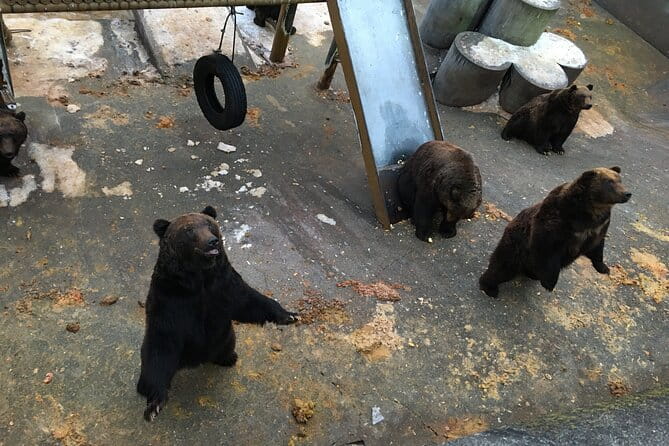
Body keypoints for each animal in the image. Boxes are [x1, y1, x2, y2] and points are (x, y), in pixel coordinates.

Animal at [136, 206, 297, 421]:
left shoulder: (223, 285)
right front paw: (154, 402)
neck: (200, 279)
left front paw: (289, 315)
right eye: (189, 230)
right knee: (155, 364)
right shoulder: (170, 297)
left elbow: (250, 301)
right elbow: (163, 343)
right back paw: (152, 400)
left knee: (226, 346)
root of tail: (193, 361)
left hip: (226, 337)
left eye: (209, 225)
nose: (212, 241)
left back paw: (229, 358)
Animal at [479, 167, 631, 298]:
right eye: (609, 182)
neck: (589, 212)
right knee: (502, 266)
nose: (627, 194)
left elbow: (597, 246)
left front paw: (604, 268)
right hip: (516, 246)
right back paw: (490, 287)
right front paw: (549, 283)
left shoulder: (599, 227)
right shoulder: (556, 221)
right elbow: (548, 249)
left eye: (620, 180)